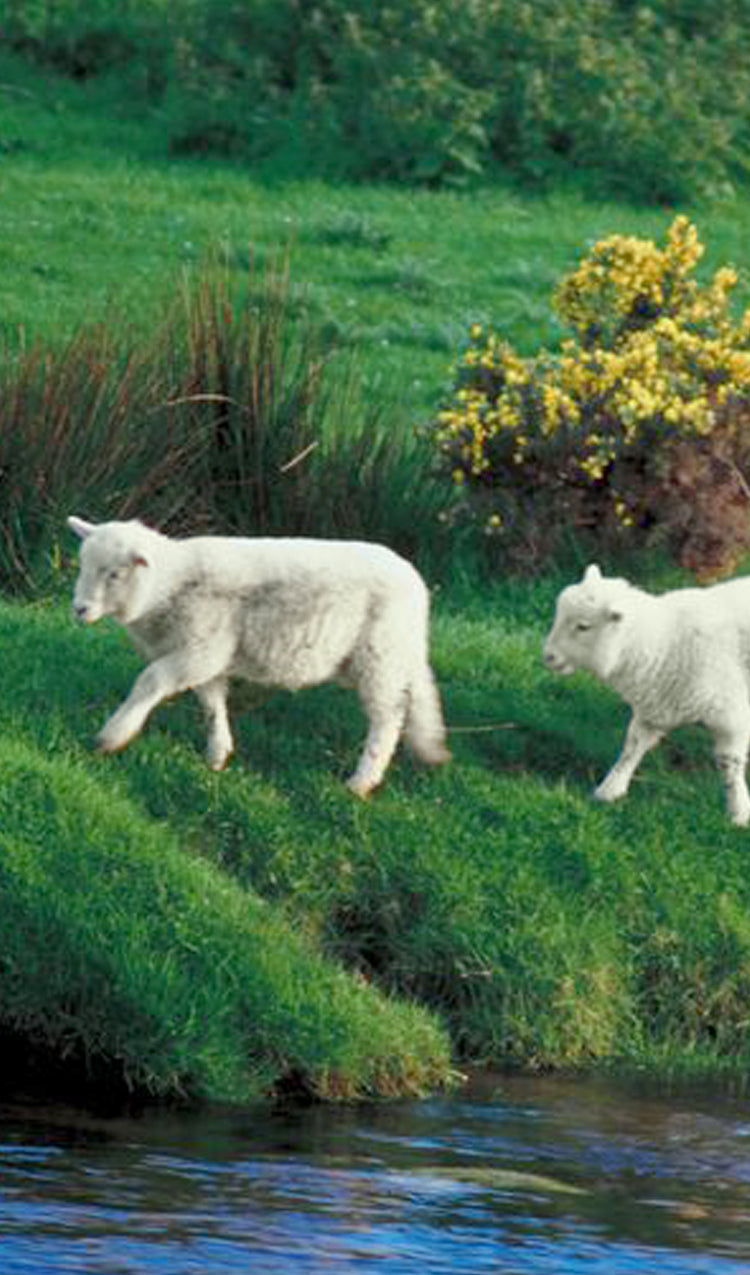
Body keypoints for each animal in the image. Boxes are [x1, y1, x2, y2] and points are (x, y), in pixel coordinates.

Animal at [67, 516, 450, 796]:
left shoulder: (203, 648)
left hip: (380, 656)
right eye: (82, 565)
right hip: (398, 654)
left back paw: (361, 781)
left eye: (115, 574)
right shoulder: (208, 656)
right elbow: (211, 702)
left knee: (387, 718)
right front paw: (217, 753)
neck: (169, 587)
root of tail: (415, 582)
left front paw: (113, 735)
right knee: (415, 697)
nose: (79, 610)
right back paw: (428, 749)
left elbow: (150, 681)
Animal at [543, 562, 750, 825]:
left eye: (583, 626)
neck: (665, 642)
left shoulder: (730, 717)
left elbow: (729, 765)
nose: (548, 656)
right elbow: (631, 748)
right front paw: (609, 791)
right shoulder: (654, 710)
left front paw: (738, 812)